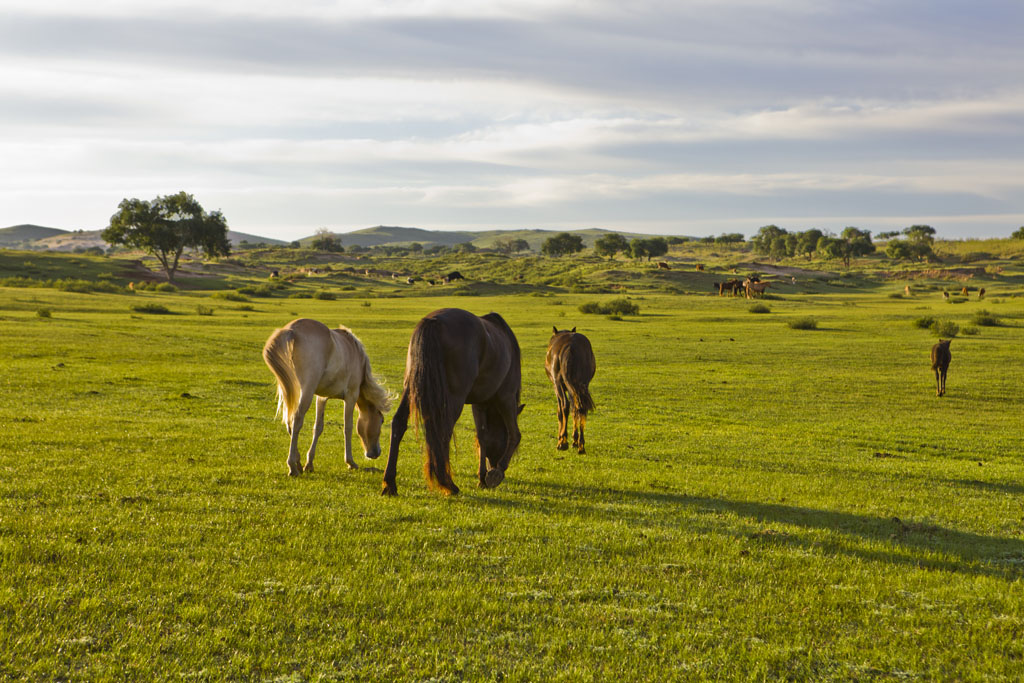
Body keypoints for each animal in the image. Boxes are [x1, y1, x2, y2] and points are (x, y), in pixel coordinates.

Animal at [262, 319, 389, 475]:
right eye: (381, 421)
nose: (376, 453)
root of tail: (291, 330)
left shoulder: (321, 398)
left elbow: (318, 427)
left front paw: (309, 463)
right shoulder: (351, 396)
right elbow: (348, 427)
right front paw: (350, 462)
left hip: (289, 389)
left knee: (289, 421)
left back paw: (298, 463)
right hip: (306, 391)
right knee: (296, 419)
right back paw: (292, 466)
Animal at [378, 309, 524, 497]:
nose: (493, 465)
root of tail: (432, 321)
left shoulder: (479, 403)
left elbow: (482, 437)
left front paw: (482, 477)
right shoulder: (506, 397)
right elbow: (514, 434)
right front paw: (496, 472)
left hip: (410, 387)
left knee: (399, 424)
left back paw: (390, 483)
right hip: (455, 398)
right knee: (443, 432)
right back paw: (447, 483)